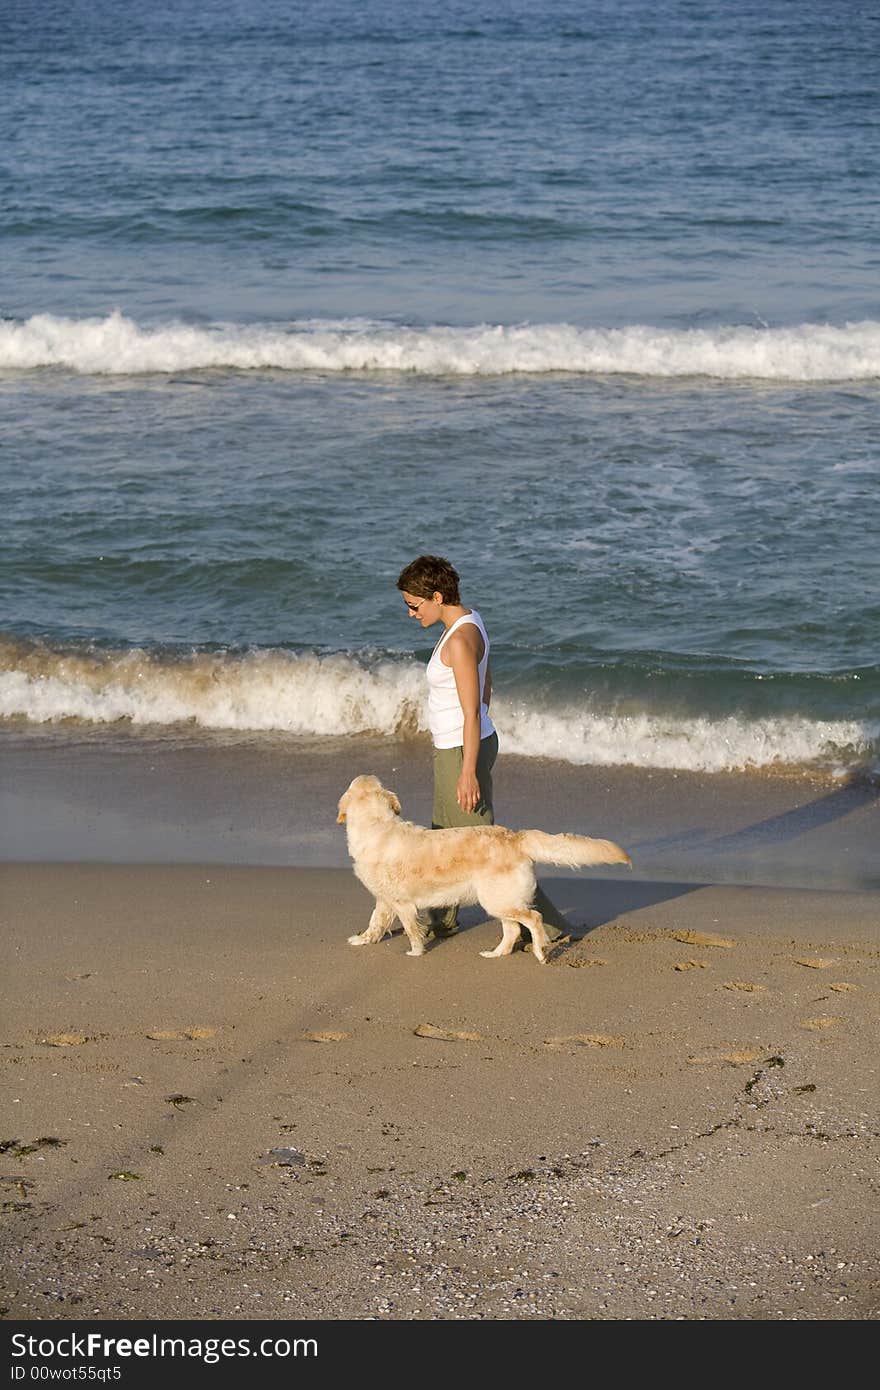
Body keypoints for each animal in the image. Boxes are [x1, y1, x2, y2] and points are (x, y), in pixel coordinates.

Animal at [336, 772, 631, 967]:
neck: (376, 826)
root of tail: (515, 837)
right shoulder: (384, 899)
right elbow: (375, 922)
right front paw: (363, 940)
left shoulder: (402, 903)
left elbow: (410, 929)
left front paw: (416, 952)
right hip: (498, 901)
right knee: (513, 930)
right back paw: (496, 954)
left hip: (497, 899)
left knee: (533, 919)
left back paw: (540, 952)